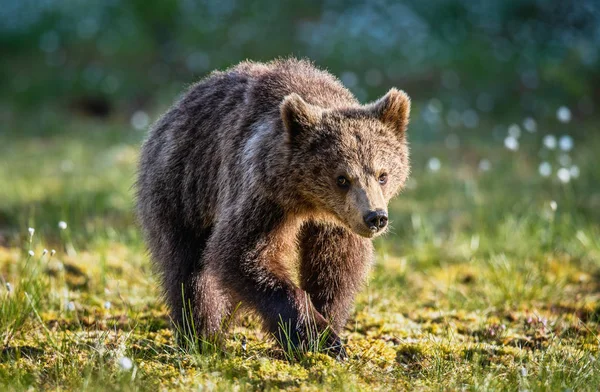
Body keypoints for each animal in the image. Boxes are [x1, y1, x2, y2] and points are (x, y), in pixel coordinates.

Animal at [136, 58, 410, 358]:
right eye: (342, 178)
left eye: (382, 175)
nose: (375, 217)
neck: (309, 203)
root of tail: (173, 111)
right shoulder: (264, 197)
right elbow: (243, 255)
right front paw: (318, 336)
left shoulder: (336, 223)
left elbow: (337, 267)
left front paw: (327, 324)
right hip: (183, 188)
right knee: (189, 269)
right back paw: (201, 336)